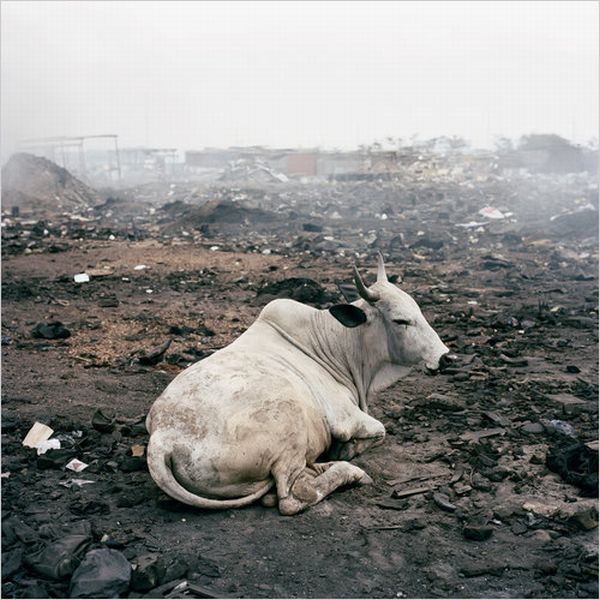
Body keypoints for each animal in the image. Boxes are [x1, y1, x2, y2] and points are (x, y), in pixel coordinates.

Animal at [148, 254, 450, 516]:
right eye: (401, 320)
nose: (445, 357)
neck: (339, 345)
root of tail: (163, 438)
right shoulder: (345, 418)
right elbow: (380, 431)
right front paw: (346, 449)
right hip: (289, 421)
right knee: (293, 496)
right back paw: (346, 471)